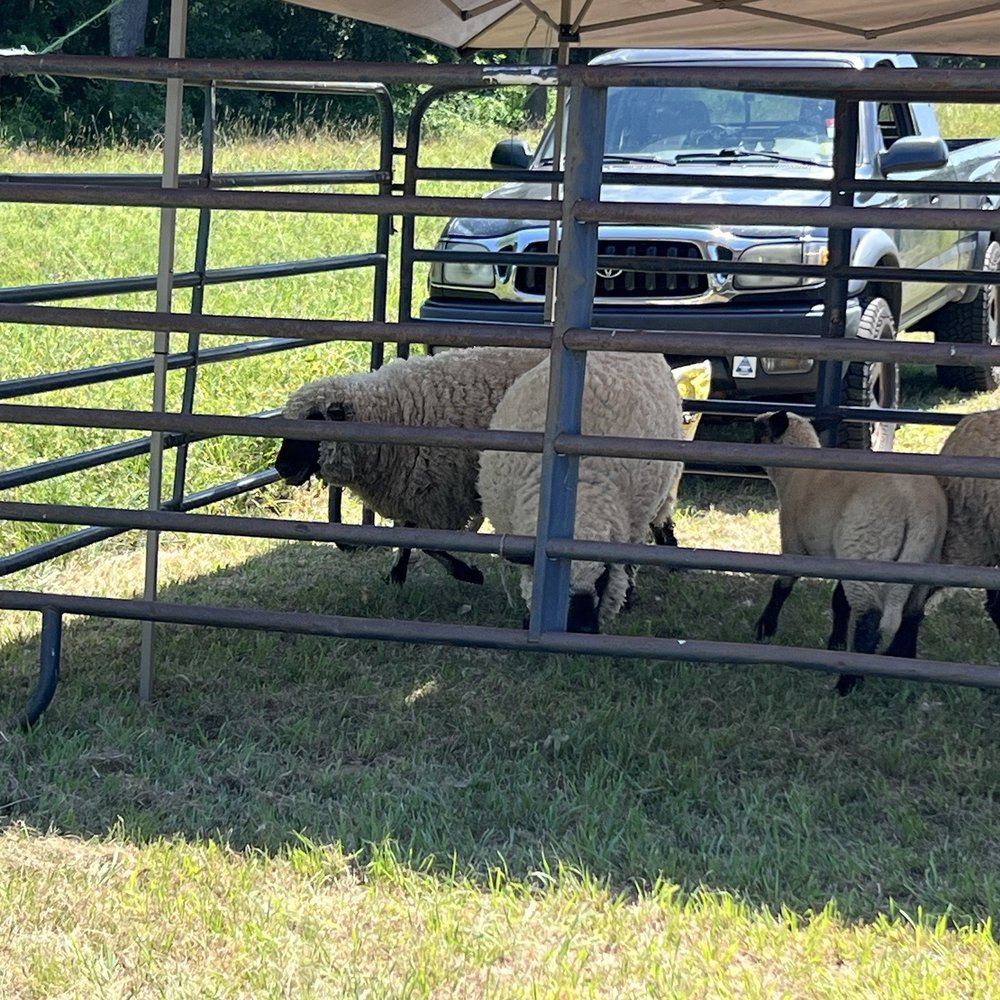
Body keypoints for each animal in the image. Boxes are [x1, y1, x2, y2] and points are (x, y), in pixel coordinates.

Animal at [274, 346, 547, 585]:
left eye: (314, 420)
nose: (281, 467)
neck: (391, 414)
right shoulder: (416, 492)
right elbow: (407, 537)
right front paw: (397, 575)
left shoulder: (439, 496)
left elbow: (427, 544)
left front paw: (468, 573)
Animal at [752, 410, 947, 695]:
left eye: (757, 430)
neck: (794, 473)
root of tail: (918, 509)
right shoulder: (839, 557)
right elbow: (839, 601)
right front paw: (836, 642)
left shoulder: (793, 542)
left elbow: (783, 587)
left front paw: (765, 628)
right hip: (923, 559)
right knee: (913, 614)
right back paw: (901, 660)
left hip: (867, 548)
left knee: (869, 619)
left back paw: (848, 683)